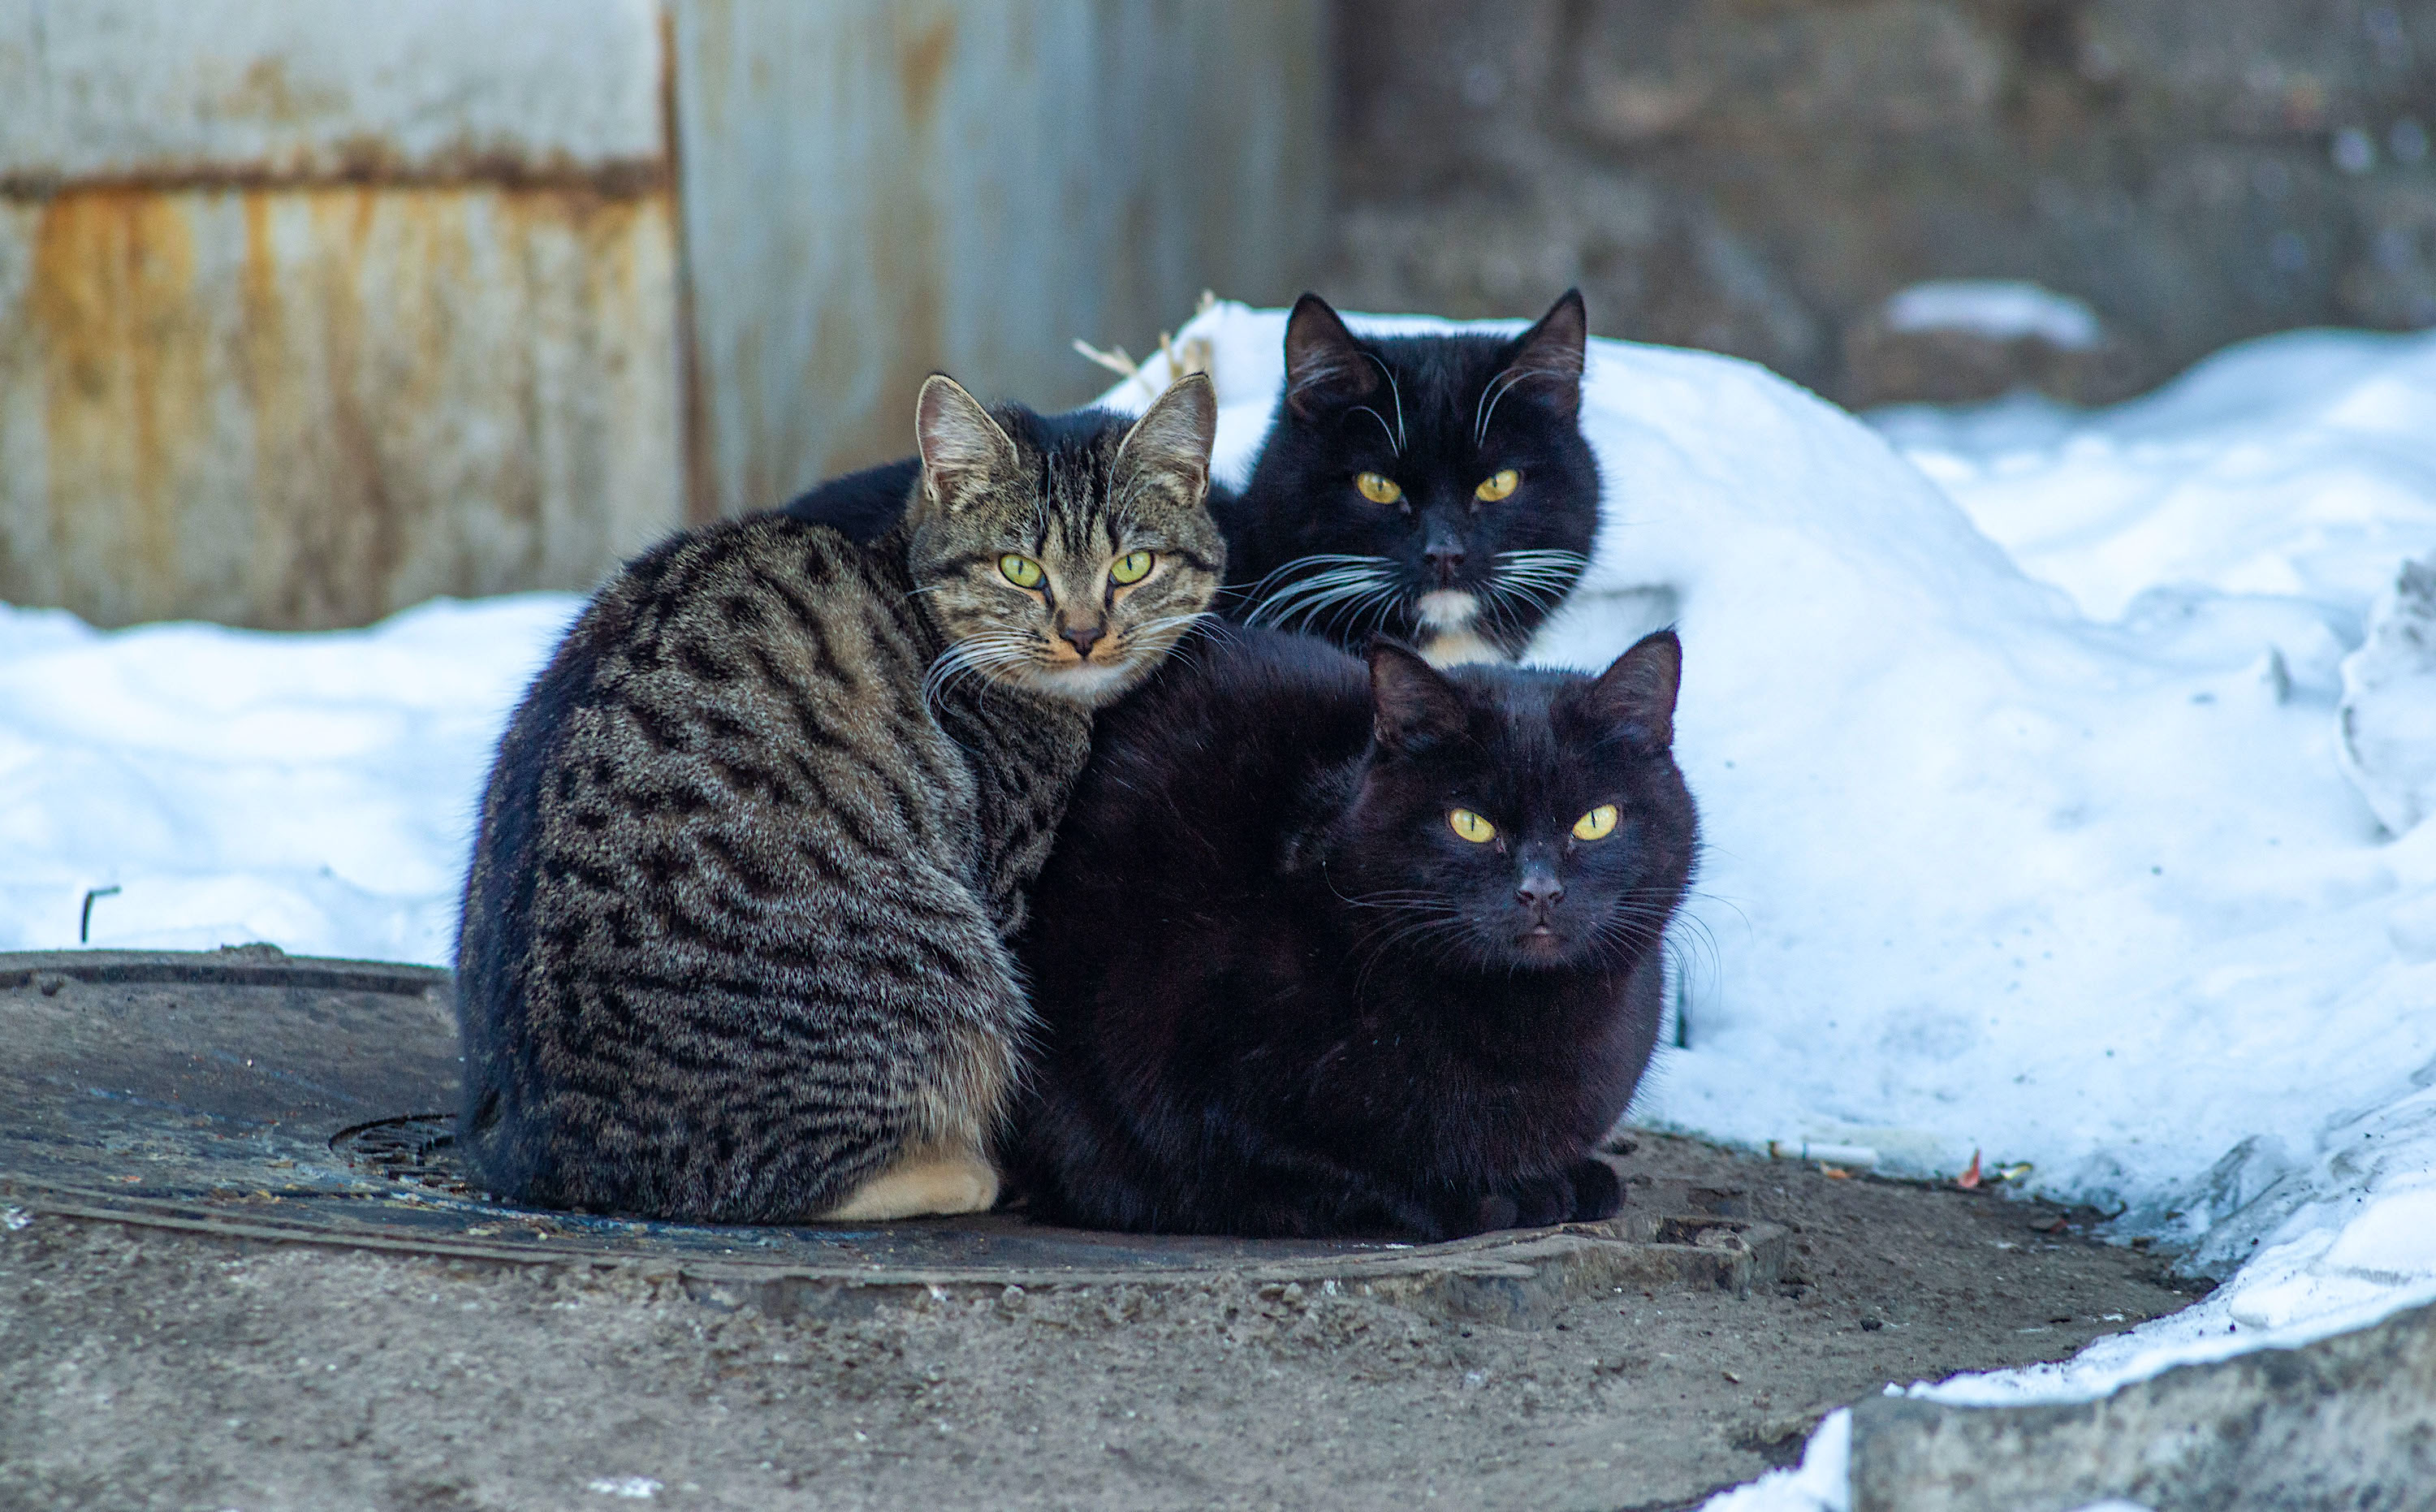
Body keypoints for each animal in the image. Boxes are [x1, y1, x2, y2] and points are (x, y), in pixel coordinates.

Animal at [451, 372, 1228, 1222]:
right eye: (1020, 569)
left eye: (1135, 565)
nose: (1085, 633)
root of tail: (547, 1150)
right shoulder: (1001, 883)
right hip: (937, 968)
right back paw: (959, 1170)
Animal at [1009, 623, 1695, 1237]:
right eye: (1469, 823)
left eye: (1595, 821)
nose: (1541, 889)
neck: (1524, 1028)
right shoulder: (1180, 1071)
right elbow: (1320, 1170)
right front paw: (1494, 1195)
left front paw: (1571, 1175)